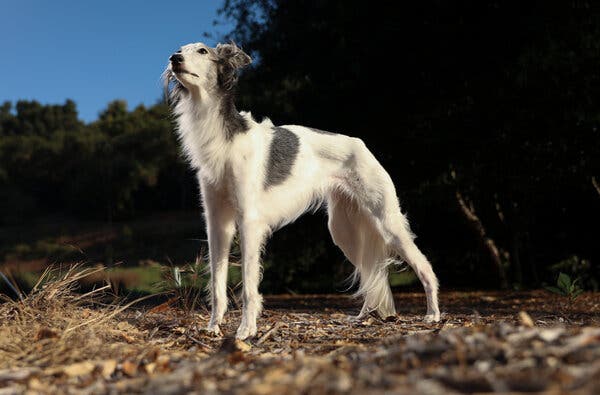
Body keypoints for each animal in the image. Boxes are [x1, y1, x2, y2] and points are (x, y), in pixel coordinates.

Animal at [163, 42, 440, 340]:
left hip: (387, 222)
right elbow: (216, 283)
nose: (174, 59)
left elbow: (249, 285)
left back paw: (433, 314)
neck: (225, 138)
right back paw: (364, 317)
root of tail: (361, 144)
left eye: (202, 51)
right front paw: (213, 327)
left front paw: (246, 330)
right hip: (344, 230)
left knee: (425, 266)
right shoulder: (217, 223)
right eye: (181, 49)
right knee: (371, 274)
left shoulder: (249, 222)